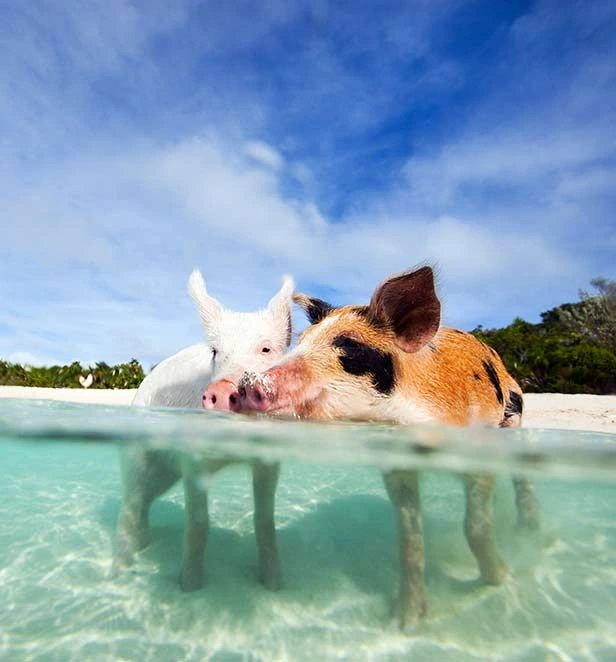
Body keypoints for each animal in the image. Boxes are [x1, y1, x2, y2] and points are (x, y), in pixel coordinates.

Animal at [113, 269, 294, 592]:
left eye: (266, 348)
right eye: (215, 352)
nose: (220, 390)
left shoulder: (268, 460)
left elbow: (264, 520)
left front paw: (275, 585)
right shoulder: (193, 459)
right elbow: (198, 522)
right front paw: (189, 587)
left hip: (165, 473)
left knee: (144, 502)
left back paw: (145, 545)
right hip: (136, 453)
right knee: (129, 505)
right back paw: (118, 574)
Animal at [236, 266, 540, 630]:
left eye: (349, 345)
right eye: (302, 340)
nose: (247, 384)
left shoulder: (476, 450)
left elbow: (475, 526)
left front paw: (499, 579)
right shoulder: (398, 467)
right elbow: (410, 537)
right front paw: (406, 623)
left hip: (514, 416)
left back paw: (528, 531)